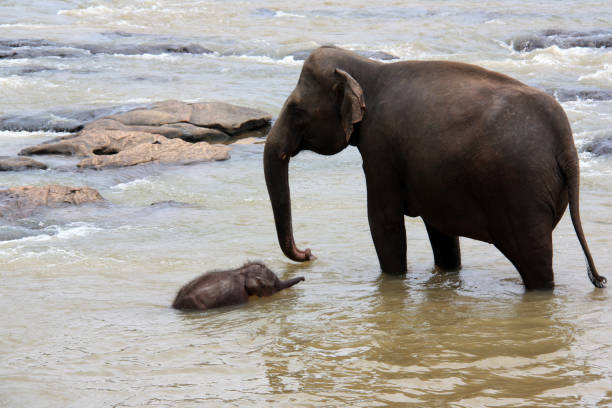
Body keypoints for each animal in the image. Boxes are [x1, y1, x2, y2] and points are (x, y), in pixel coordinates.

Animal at [264, 45, 608, 290]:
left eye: (297, 110)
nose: (309, 253)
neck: (366, 67)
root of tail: (566, 143)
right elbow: (439, 229)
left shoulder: (380, 146)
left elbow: (383, 221)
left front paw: (394, 279)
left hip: (522, 192)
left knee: (534, 262)